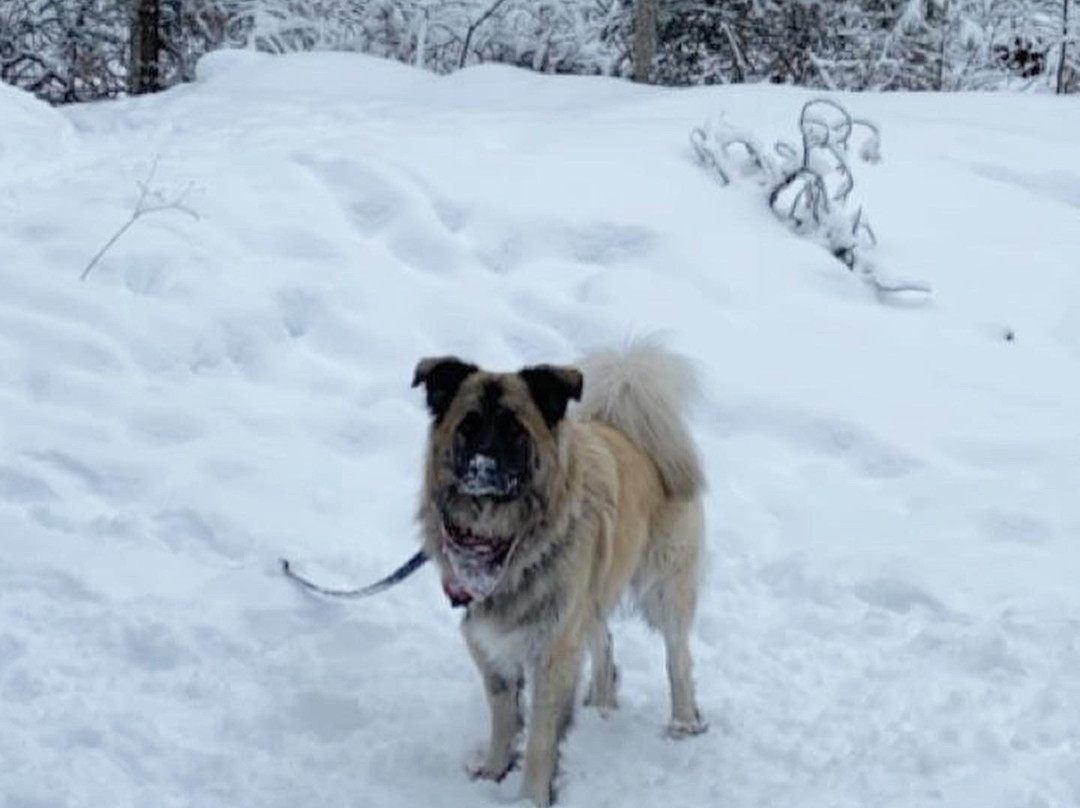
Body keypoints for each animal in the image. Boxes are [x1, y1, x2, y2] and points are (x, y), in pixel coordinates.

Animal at [412, 337, 708, 803]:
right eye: (469, 425)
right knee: (604, 643)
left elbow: (539, 735)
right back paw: (602, 707)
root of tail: (631, 431)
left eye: (515, 430)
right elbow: (504, 718)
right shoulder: (492, 644)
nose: (482, 467)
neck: (506, 542)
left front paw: (530, 797)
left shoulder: (552, 648)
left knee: (678, 656)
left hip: (663, 587)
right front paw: (494, 770)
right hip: (591, 596)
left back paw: (682, 722)